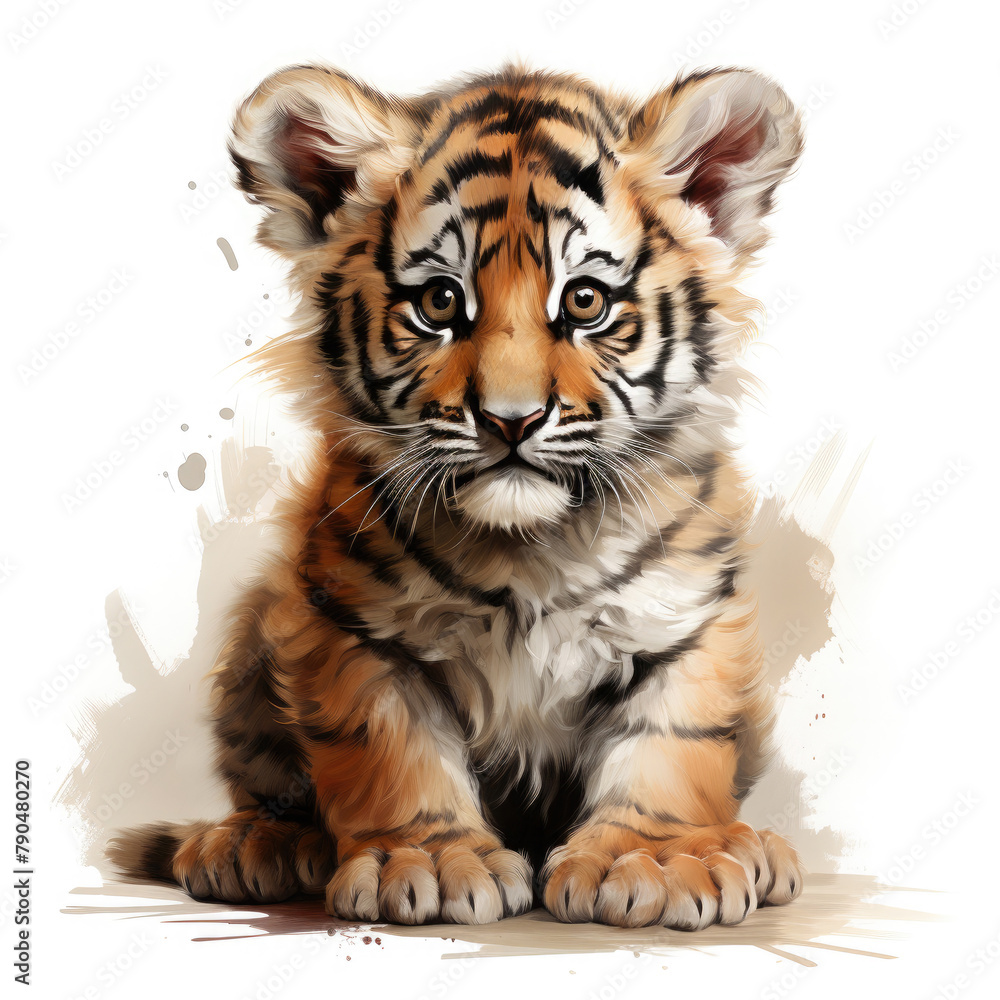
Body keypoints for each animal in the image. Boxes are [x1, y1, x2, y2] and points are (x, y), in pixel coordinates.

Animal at [108, 61, 806, 929]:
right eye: (440, 302)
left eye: (585, 301)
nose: (511, 419)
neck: (529, 548)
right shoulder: (354, 627)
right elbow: (389, 751)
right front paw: (431, 863)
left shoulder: (685, 621)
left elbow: (674, 747)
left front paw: (653, 860)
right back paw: (255, 846)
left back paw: (754, 847)